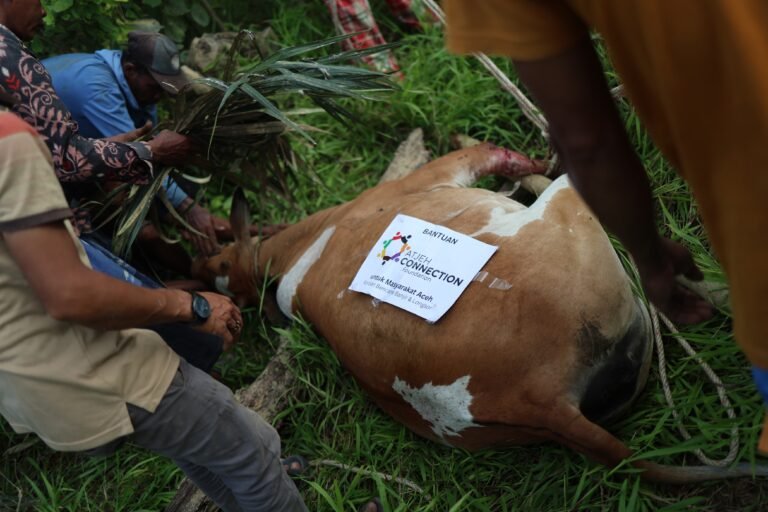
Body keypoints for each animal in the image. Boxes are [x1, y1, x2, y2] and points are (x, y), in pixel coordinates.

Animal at [194, 143, 767, 483]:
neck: (291, 252)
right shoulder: (447, 167)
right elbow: (507, 157)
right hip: (573, 215)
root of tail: (540, 399)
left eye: (217, 261)